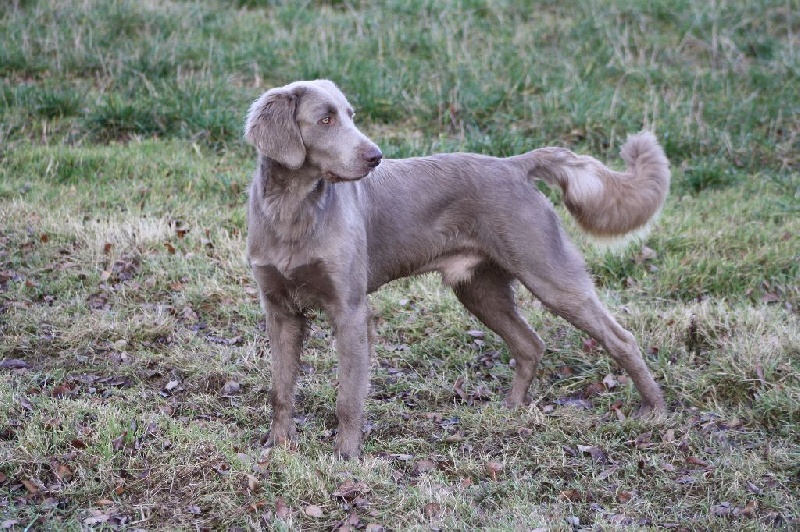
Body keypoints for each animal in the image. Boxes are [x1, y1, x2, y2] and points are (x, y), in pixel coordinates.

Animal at [244, 79, 669, 458]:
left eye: (350, 116)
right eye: (326, 119)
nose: (375, 156)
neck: (292, 211)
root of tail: (515, 164)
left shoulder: (349, 309)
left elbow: (349, 395)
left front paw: (346, 456)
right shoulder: (279, 309)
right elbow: (280, 388)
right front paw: (277, 445)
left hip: (549, 274)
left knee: (620, 339)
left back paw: (654, 410)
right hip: (479, 288)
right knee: (530, 344)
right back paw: (511, 409)